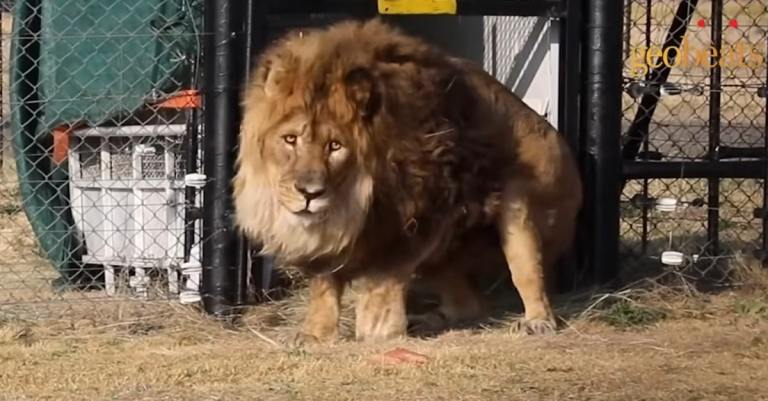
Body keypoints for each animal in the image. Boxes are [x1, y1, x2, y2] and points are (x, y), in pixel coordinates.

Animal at [232, 18, 584, 342]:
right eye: (290, 139)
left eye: (335, 146)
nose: (309, 193)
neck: (354, 201)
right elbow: (324, 286)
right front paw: (315, 334)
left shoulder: (415, 220)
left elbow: (382, 282)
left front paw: (377, 331)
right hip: (444, 253)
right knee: (469, 304)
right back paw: (426, 321)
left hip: (519, 207)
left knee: (527, 271)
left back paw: (538, 321)